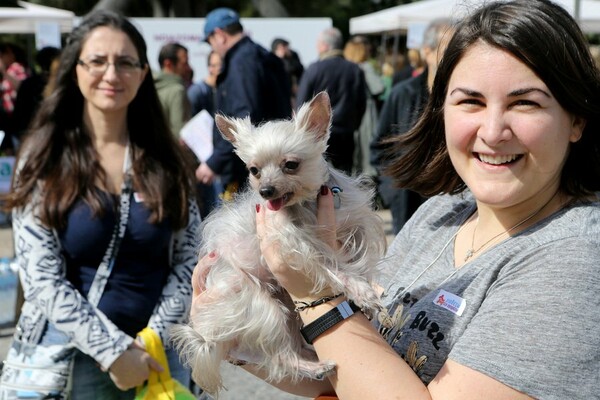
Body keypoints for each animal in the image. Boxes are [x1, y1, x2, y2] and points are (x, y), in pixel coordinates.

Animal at [172, 92, 390, 396]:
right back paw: (314, 366)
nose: (265, 191)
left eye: (291, 165)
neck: (306, 203)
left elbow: (355, 255)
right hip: (261, 304)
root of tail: (208, 334)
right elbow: (330, 263)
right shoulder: (296, 245)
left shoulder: (355, 221)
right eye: (254, 170)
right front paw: (361, 291)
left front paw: (365, 294)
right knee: (279, 357)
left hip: (282, 307)